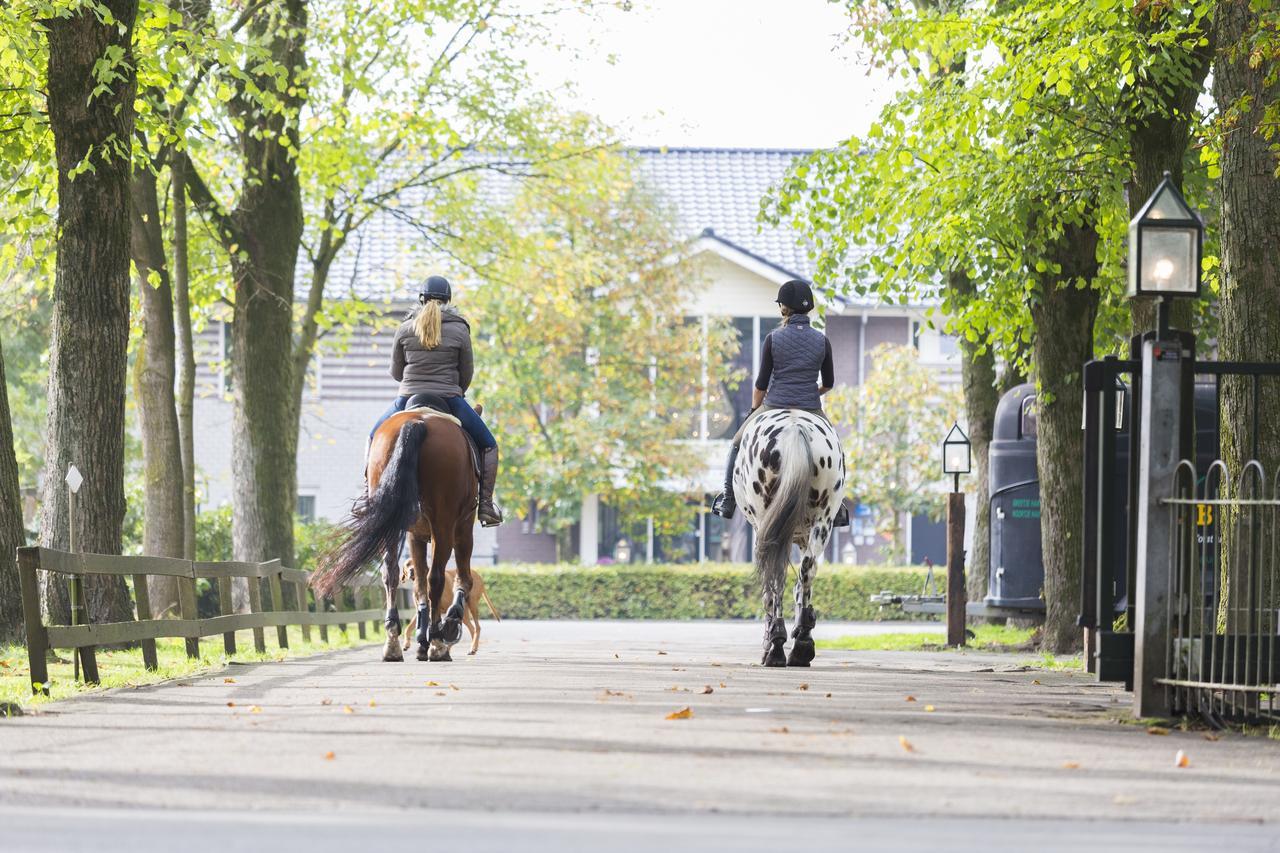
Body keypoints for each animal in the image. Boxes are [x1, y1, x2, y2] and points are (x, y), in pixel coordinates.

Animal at [312, 409, 478, 660]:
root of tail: (418, 422)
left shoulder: (415, 535)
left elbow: (418, 583)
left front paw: (421, 639)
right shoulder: (463, 528)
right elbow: (460, 578)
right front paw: (448, 623)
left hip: (393, 522)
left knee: (390, 572)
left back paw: (393, 642)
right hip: (444, 524)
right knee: (436, 577)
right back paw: (437, 642)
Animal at [737, 409, 844, 666]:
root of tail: (794, 428)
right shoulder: (805, 537)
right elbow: (801, 586)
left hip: (765, 521)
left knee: (775, 576)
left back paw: (775, 644)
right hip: (822, 522)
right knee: (806, 571)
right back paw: (802, 643)